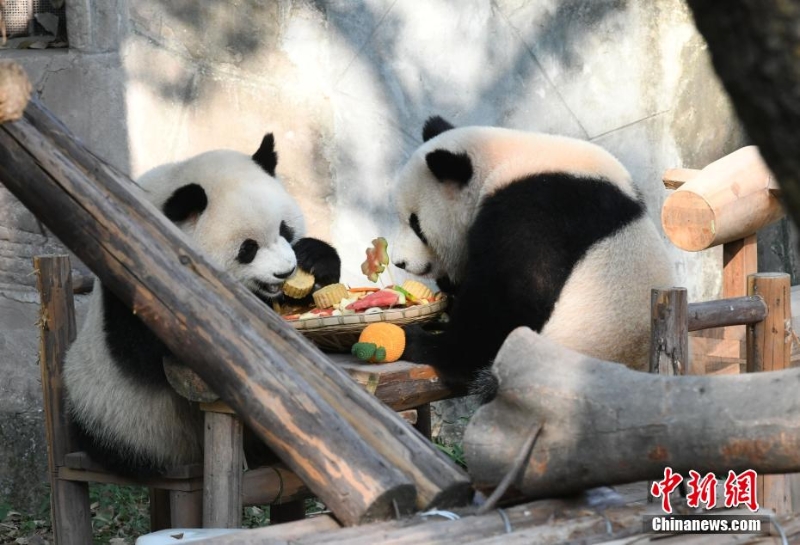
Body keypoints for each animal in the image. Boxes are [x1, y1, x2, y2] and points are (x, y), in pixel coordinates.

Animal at [61, 133, 338, 476]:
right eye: (248, 249)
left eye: (285, 229)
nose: (285, 272)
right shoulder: (135, 274)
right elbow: (151, 348)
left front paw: (314, 257)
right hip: (110, 412)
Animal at [394, 115, 676, 398]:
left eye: (416, 225)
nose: (400, 262)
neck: (502, 159)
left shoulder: (535, 213)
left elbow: (505, 308)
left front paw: (419, 340)